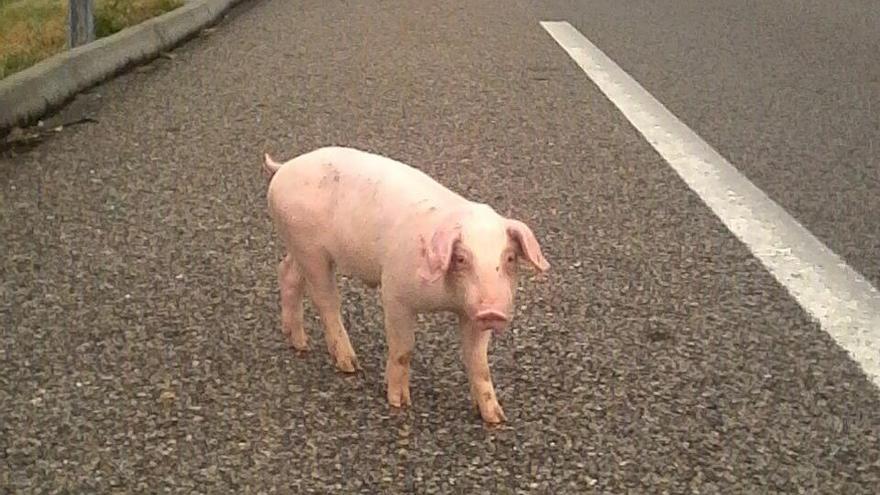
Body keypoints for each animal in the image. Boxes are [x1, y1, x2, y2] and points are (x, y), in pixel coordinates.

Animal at [262, 146, 552, 422]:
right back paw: (350, 365)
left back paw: (299, 343)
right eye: (461, 258)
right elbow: (403, 349)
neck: (448, 301)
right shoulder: (395, 292)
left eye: (510, 258)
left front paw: (496, 418)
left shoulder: (472, 314)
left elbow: (479, 363)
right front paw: (400, 404)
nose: (492, 311)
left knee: (287, 273)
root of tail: (285, 167)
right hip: (312, 251)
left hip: (299, 247)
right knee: (326, 301)